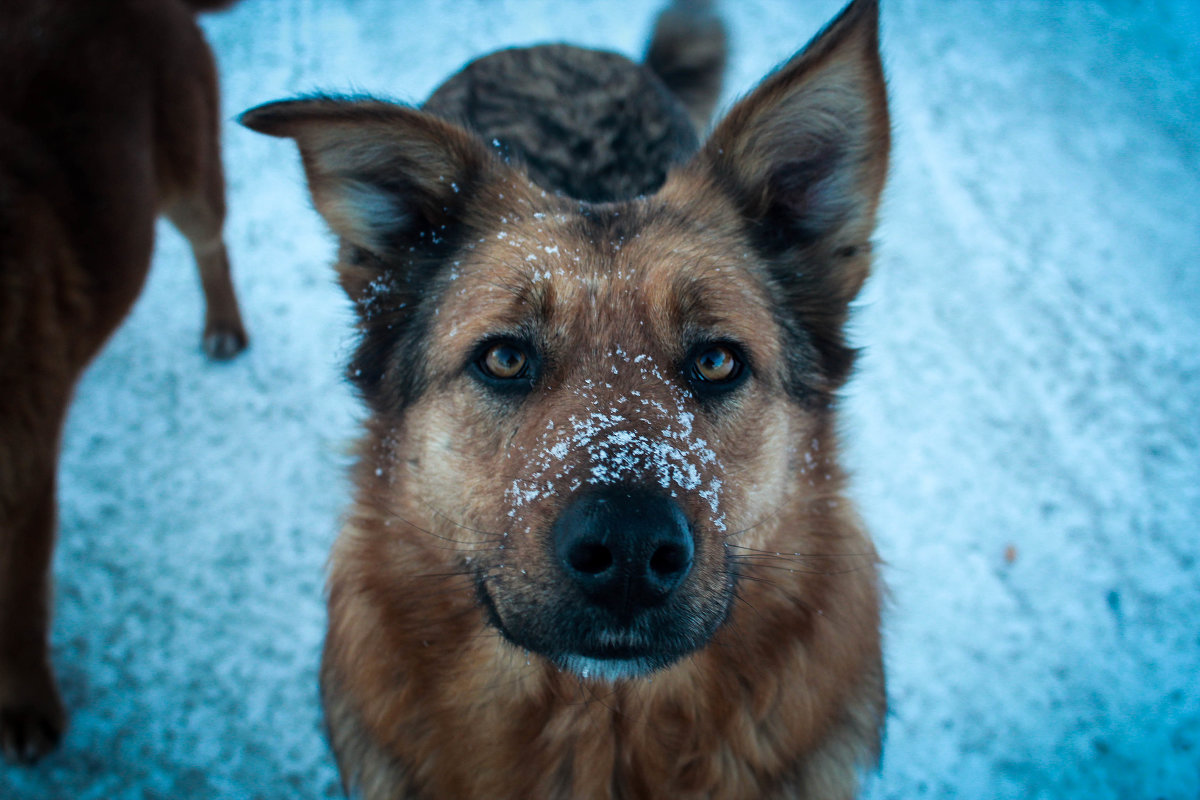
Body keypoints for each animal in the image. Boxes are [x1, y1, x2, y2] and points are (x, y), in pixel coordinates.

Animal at [0, 0, 246, 762]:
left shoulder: (25, 480)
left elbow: (19, 608)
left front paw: (26, 706)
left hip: (190, 180)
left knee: (212, 247)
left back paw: (224, 327)